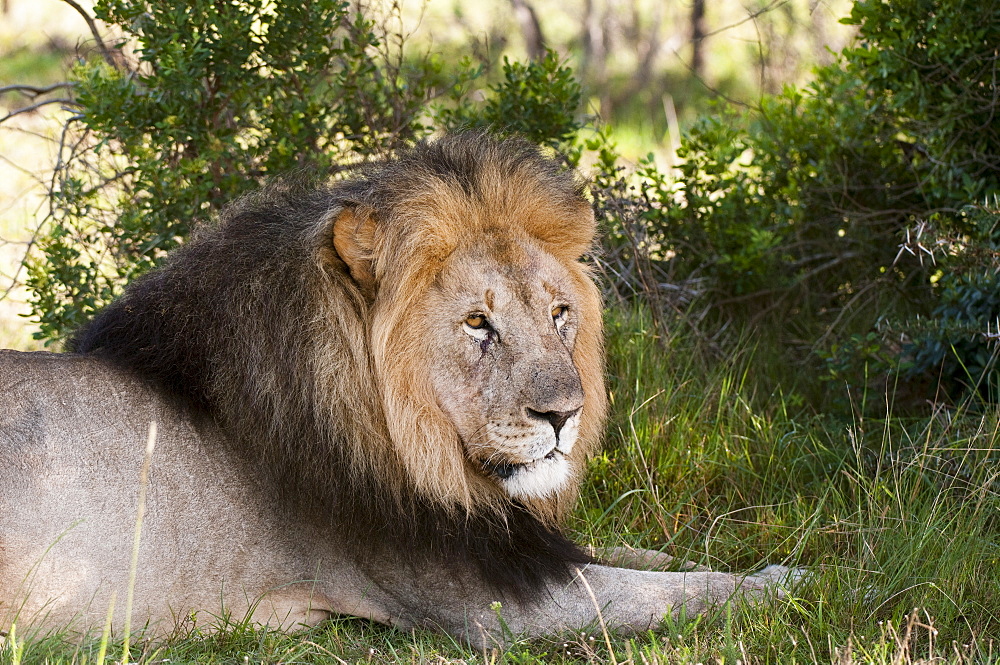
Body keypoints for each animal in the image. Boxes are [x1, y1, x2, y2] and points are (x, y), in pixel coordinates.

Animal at [1, 131, 796, 644]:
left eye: (558, 313)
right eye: (478, 322)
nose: (565, 414)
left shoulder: (517, 545)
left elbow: (647, 557)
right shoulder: (496, 604)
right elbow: (680, 592)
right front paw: (789, 581)